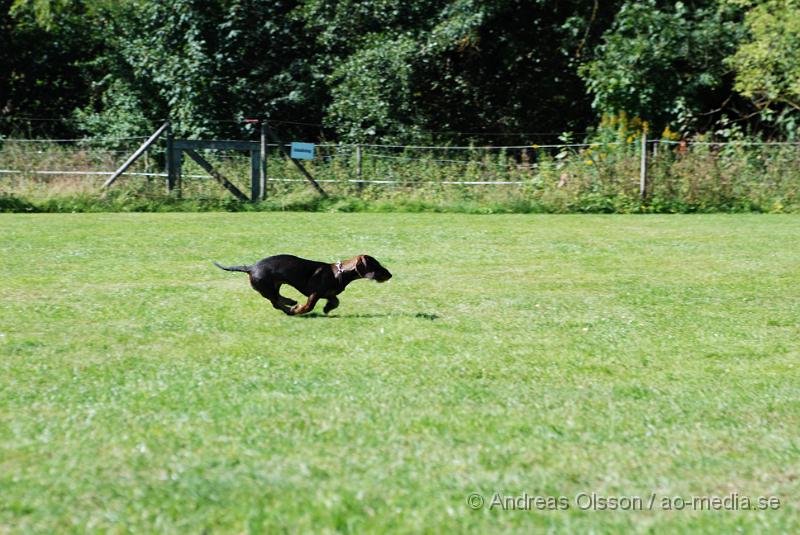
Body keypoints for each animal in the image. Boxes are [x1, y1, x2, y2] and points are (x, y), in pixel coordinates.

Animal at [211, 254, 390, 314]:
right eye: (377, 265)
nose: (390, 275)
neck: (340, 272)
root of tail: (250, 267)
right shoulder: (315, 293)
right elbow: (309, 306)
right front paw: (300, 310)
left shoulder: (329, 294)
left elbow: (336, 301)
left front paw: (327, 309)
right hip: (267, 287)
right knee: (276, 302)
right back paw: (292, 308)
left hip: (273, 285)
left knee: (277, 299)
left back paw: (290, 303)